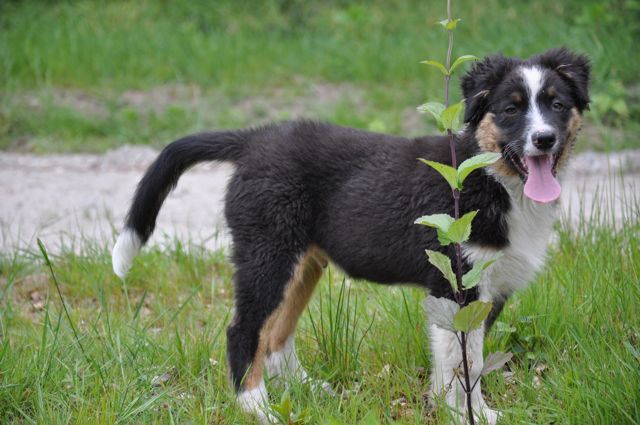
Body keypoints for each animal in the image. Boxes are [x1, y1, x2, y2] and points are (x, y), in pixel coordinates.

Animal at [111, 48, 592, 422]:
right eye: (511, 109)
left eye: (557, 105)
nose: (544, 139)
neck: (493, 181)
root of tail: (252, 141)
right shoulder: (455, 283)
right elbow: (461, 365)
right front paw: (462, 414)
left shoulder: (486, 290)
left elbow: (465, 361)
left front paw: (463, 410)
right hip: (267, 254)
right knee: (243, 331)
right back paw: (257, 407)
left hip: (301, 262)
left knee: (277, 334)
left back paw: (308, 390)